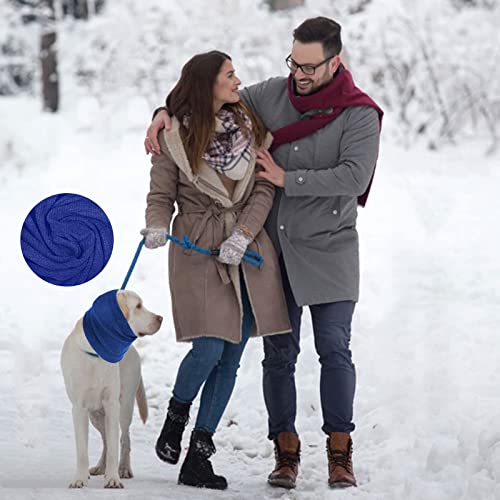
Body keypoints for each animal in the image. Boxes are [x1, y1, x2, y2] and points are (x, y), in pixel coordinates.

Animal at [60, 290, 162, 488]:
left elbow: (116, 446)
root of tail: (132, 349)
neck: (97, 353)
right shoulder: (79, 409)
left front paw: (113, 478)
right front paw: (80, 478)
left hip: (124, 407)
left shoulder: (112, 405)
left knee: (124, 439)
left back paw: (123, 469)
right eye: (138, 306)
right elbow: (82, 450)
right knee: (106, 441)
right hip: (95, 415)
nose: (160, 318)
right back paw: (101, 467)